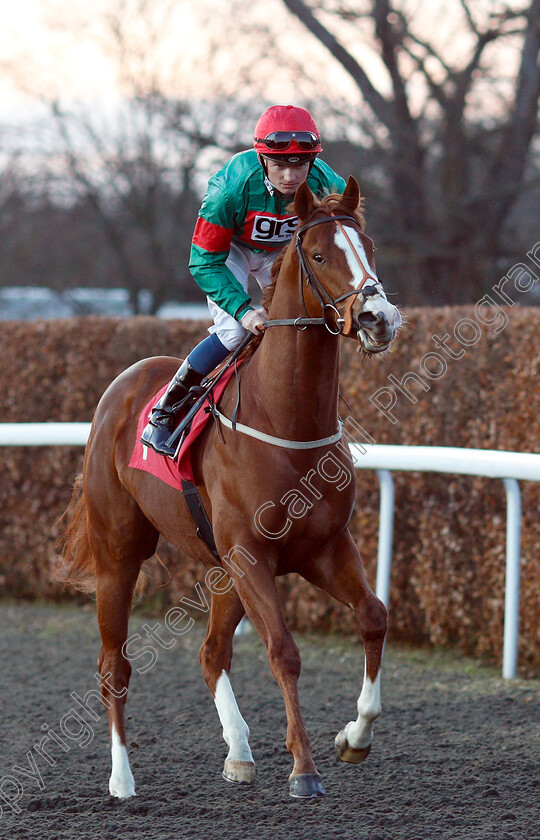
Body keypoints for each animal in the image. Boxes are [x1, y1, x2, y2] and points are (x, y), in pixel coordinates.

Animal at [60, 179, 400, 800]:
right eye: (320, 256)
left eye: (367, 247)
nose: (377, 316)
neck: (289, 423)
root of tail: (121, 386)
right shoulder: (251, 555)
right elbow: (284, 651)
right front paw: (304, 769)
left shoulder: (323, 548)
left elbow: (373, 615)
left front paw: (354, 736)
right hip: (120, 554)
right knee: (113, 667)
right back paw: (122, 779)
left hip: (224, 570)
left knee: (211, 651)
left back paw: (239, 753)